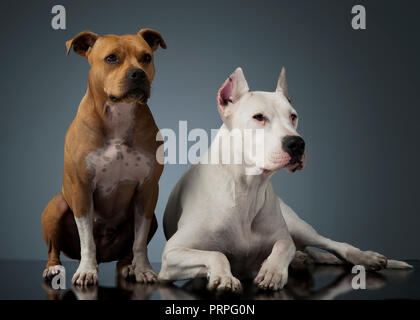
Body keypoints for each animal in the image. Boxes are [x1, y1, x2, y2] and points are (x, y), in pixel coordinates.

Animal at [41, 28, 166, 286]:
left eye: (146, 57)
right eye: (111, 58)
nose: (138, 73)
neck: (118, 115)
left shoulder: (148, 190)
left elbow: (139, 241)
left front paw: (143, 269)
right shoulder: (81, 187)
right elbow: (87, 239)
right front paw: (87, 270)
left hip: (151, 220)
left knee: (127, 251)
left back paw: (129, 267)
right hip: (57, 205)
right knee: (54, 248)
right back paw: (54, 268)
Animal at [159, 67, 412, 292]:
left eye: (293, 116)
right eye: (258, 117)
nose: (297, 143)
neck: (246, 188)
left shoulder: (282, 236)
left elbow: (283, 246)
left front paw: (272, 271)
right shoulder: (172, 254)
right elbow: (217, 254)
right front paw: (224, 277)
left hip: (299, 227)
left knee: (333, 245)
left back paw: (365, 257)